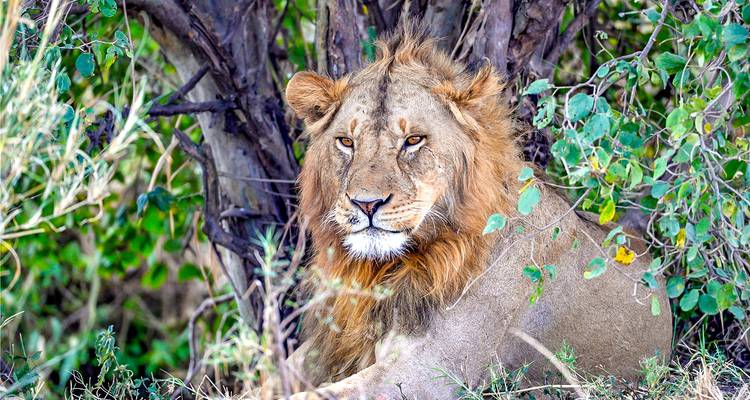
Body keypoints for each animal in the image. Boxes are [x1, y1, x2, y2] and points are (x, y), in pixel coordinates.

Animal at [283, 23, 673, 399]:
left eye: (413, 140)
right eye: (346, 142)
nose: (366, 203)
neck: (383, 269)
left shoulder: (431, 371)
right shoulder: (326, 349)